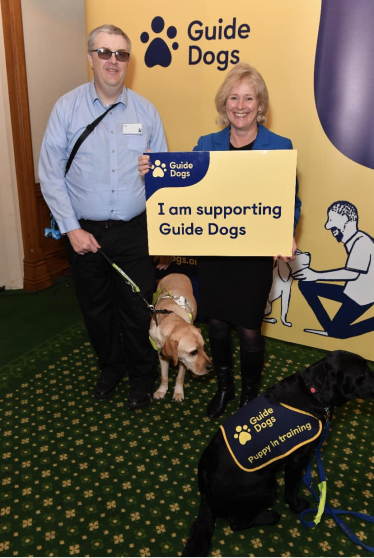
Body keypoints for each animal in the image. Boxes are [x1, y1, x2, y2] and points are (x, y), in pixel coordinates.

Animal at [183, 352, 372, 556]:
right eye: (362, 374)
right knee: (236, 523)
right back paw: (269, 516)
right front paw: (297, 507)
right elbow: (291, 489)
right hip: (267, 483)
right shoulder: (296, 459)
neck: (313, 392)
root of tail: (206, 499)